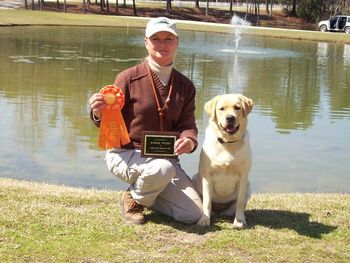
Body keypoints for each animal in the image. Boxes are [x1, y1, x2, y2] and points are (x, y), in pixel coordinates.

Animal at [194, 94, 254, 229]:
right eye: (221, 109)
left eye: (237, 107)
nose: (230, 117)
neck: (228, 143)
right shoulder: (207, 177)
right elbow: (207, 202)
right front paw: (204, 220)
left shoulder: (243, 177)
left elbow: (240, 202)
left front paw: (239, 221)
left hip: (248, 185)